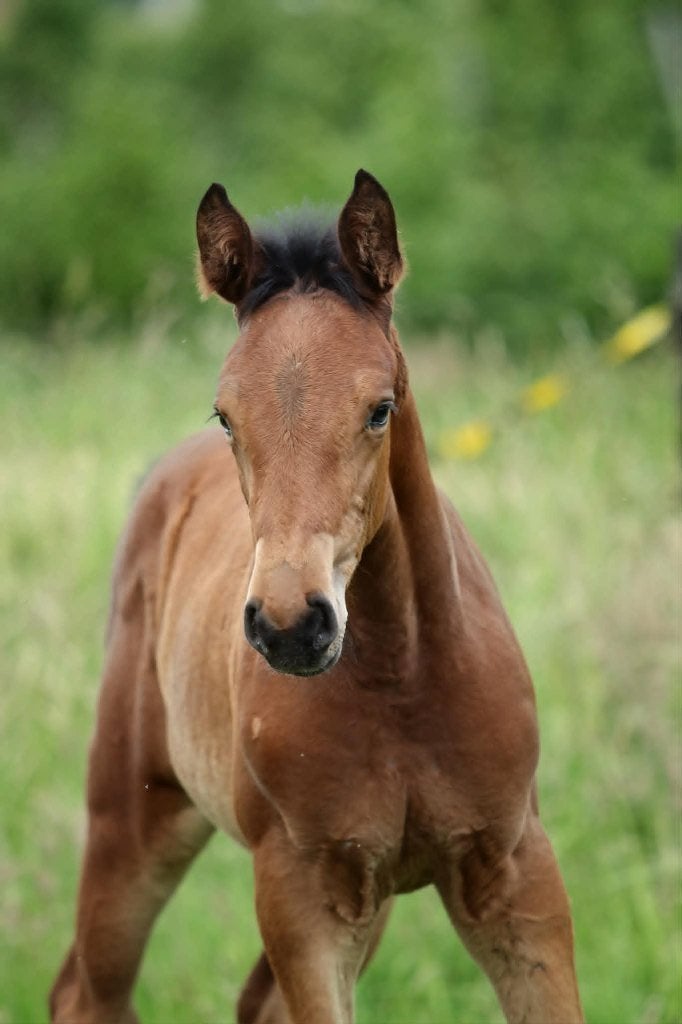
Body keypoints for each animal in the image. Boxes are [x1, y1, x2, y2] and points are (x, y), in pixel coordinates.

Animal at [50, 170, 583, 1024]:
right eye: (226, 415)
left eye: (379, 409)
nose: (291, 624)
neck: (405, 679)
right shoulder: (300, 893)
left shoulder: (514, 873)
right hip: (133, 818)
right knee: (88, 993)